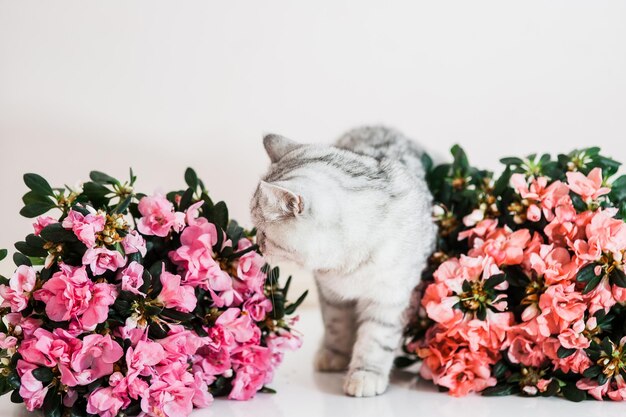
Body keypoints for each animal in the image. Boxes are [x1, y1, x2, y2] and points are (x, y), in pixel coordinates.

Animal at [249, 126, 434, 396]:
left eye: (262, 232)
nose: (256, 245)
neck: (346, 265)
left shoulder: (391, 297)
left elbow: (376, 340)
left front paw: (365, 375)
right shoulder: (330, 294)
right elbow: (336, 327)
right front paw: (334, 355)